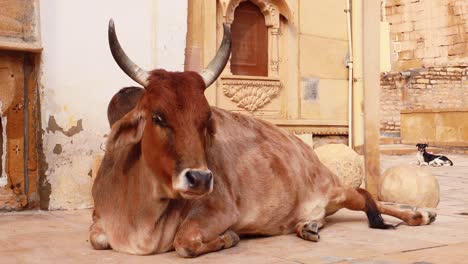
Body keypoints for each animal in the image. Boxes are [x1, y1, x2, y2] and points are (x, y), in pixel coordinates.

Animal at [89, 19, 436, 258]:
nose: (200, 179)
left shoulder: (219, 211)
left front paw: (229, 238)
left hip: (334, 189)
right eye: (157, 117)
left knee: (364, 196)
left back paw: (419, 214)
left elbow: (184, 242)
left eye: (206, 120)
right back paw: (308, 226)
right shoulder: (99, 223)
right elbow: (97, 238)